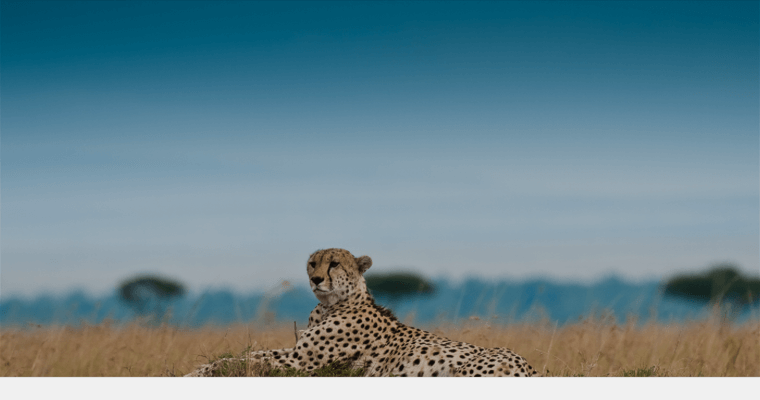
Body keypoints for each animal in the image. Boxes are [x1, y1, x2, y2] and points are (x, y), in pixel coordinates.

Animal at [185, 248, 539, 377]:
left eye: (334, 263)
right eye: (312, 263)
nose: (315, 278)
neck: (329, 305)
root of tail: (531, 366)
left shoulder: (301, 363)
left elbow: (244, 361)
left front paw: (200, 372)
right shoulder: (295, 351)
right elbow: (248, 355)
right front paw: (201, 368)